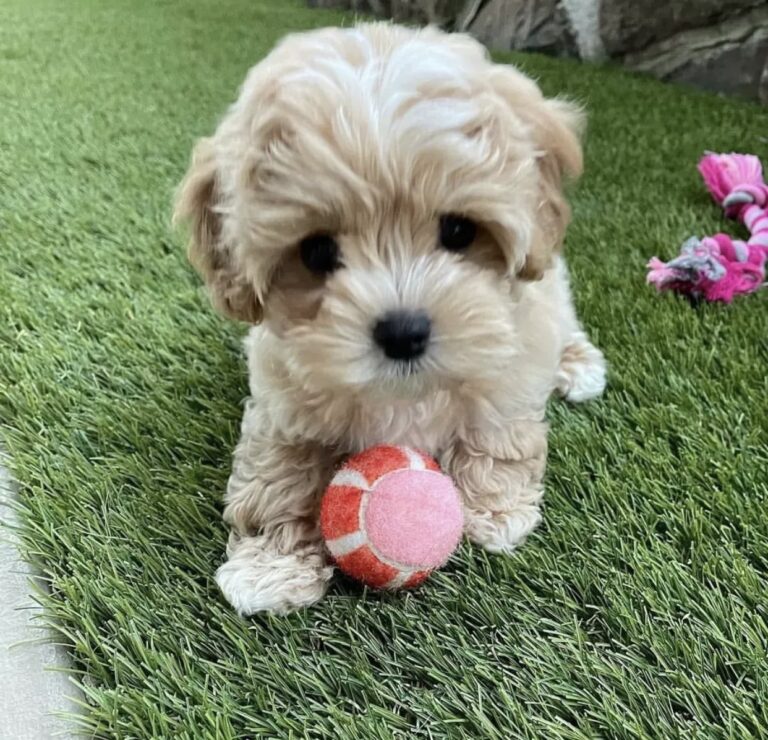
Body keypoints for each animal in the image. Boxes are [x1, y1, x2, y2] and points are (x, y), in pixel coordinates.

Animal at [174, 21, 608, 612]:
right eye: (316, 252)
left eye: (458, 231)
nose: (403, 333)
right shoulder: (285, 398)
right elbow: (278, 471)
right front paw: (271, 566)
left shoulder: (511, 358)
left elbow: (497, 432)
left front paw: (495, 512)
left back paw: (577, 364)